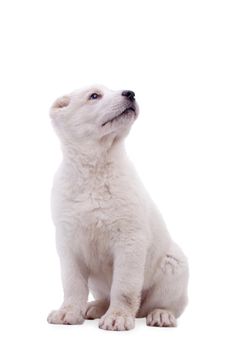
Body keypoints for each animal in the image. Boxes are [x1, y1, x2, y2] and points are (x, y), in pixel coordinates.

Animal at [47, 85, 189, 330]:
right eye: (94, 96)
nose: (130, 93)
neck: (94, 168)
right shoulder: (68, 240)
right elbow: (73, 283)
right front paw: (68, 313)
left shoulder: (130, 239)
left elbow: (123, 287)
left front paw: (118, 317)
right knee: (105, 295)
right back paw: (94, 307)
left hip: (174, 264)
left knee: (167, 304)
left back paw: (161, 315)